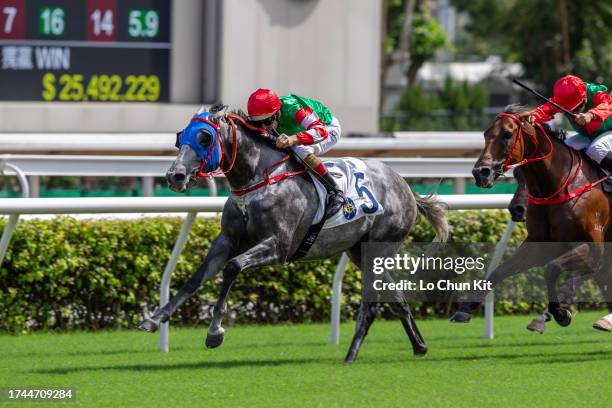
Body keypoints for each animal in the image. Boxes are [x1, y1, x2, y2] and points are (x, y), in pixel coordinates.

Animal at [137, 103, 450, 362]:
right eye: (180, 138)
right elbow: (195, 279)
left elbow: (233, 267)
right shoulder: (226, 240)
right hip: (361, 252)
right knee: (397, 299)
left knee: (372, 305)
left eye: (205, 138)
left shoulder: (279, 246)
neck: (258, 179)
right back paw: (419, 347)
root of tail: (406, 187)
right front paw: (153, 319)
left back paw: (351, 355)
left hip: (379, 246)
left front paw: (215, 332)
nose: (174, 176)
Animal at [450, 105, 612, 332]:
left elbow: (552, 269)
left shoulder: (594, 247)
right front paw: (465, 308)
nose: (481, 172)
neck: (562, 186)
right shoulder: (539, 245)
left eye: (507, 134)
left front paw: (560, 313)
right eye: (485, 134)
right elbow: (500, 271)